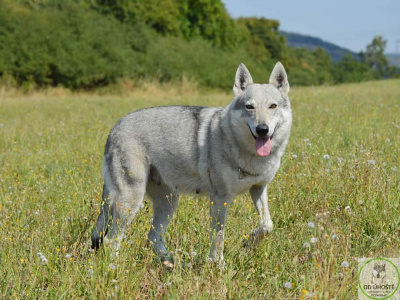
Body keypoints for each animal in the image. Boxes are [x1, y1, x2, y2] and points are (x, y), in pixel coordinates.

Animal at [90, 61, 292, 264]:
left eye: (272, 106)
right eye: (250, 107)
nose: (262, 129)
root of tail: (114, 128)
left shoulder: (259, 187)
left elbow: (267, 225)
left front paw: (248, 242)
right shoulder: (220, 199)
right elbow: (218, 239)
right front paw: (217, 265)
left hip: (169, 203)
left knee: (152, 238)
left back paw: (170, 263)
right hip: (131, 201)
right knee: (111, 240)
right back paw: (115, 267)